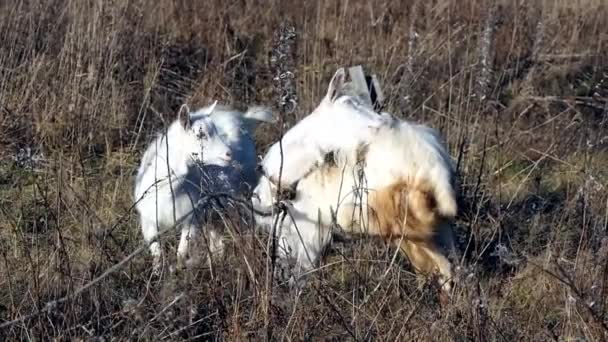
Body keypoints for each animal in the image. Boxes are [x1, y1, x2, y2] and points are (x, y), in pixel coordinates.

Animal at [135, 101, 276, 270]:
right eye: (200, 135)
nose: (228, 154)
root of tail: (245, 119)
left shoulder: (192, 218)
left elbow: (181, 253)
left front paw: (179, 269)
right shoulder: (148, 223)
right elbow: (157, 254)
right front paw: (157, 272)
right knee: (217, 238)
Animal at [251, 69, 456, 294]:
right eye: (351, 105)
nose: (387, 120)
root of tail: (435, 169)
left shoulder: (308, 235)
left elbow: (300, 275)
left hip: (403, 230)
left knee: (443, 270)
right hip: (436, 230)